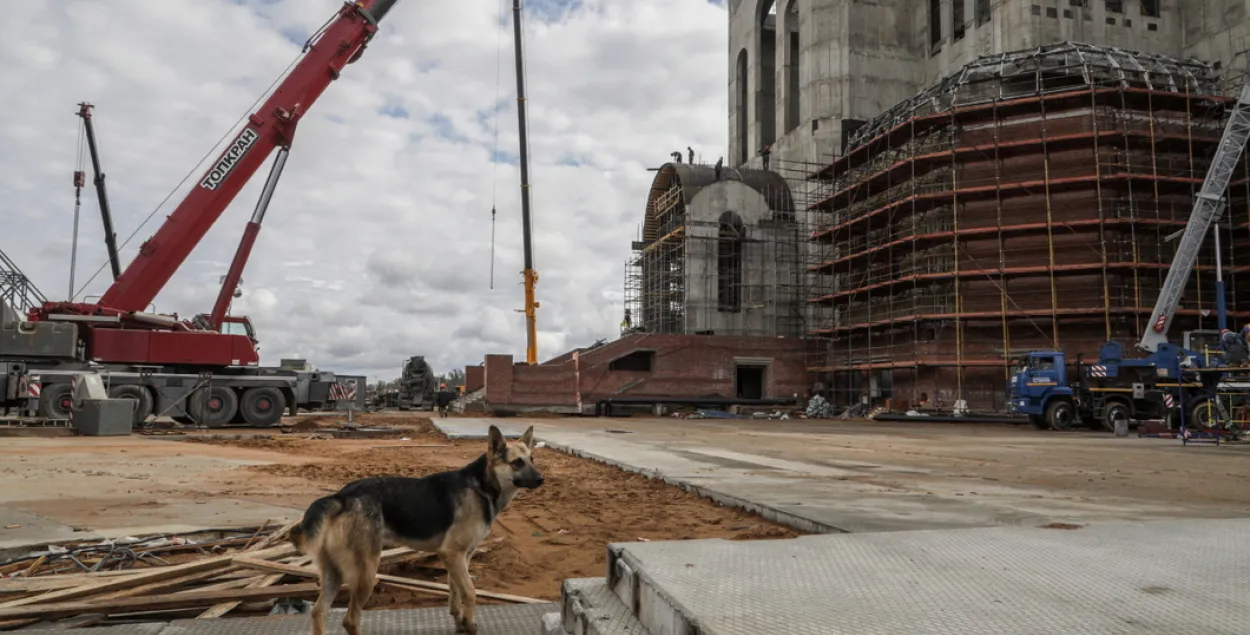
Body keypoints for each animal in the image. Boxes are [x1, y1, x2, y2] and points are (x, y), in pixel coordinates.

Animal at [292, 425, 547, 635]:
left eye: (532, 459)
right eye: (517, 463)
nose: (542, 480)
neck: (482, 485)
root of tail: (342, 496)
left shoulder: (459, 558)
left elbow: (455, 593)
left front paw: (460, 623)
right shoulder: (452, 554)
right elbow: (470, 593)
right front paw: (470, 623)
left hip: (334, 574)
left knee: (318, 612)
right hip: (366, 573)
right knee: (350, 621)